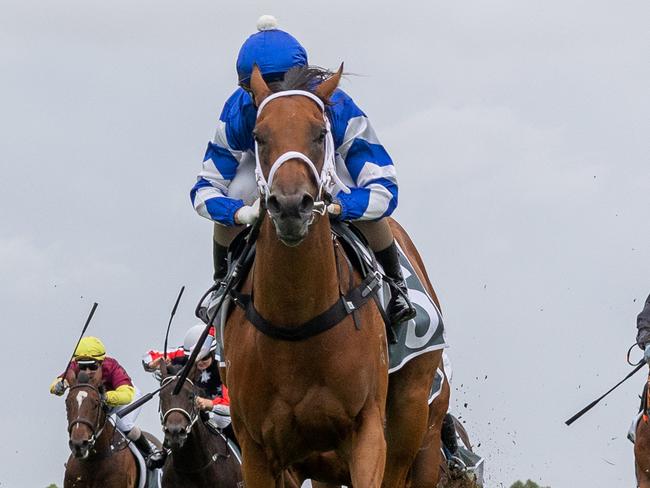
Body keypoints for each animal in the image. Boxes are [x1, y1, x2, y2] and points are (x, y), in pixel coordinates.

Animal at [220, 66, 448, 488]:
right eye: (259, 135)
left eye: (319, 133)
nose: (291, 205)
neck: (296, 323)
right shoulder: (260, 449)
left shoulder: (367, 432)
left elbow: (381, 181)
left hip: (415, 417)